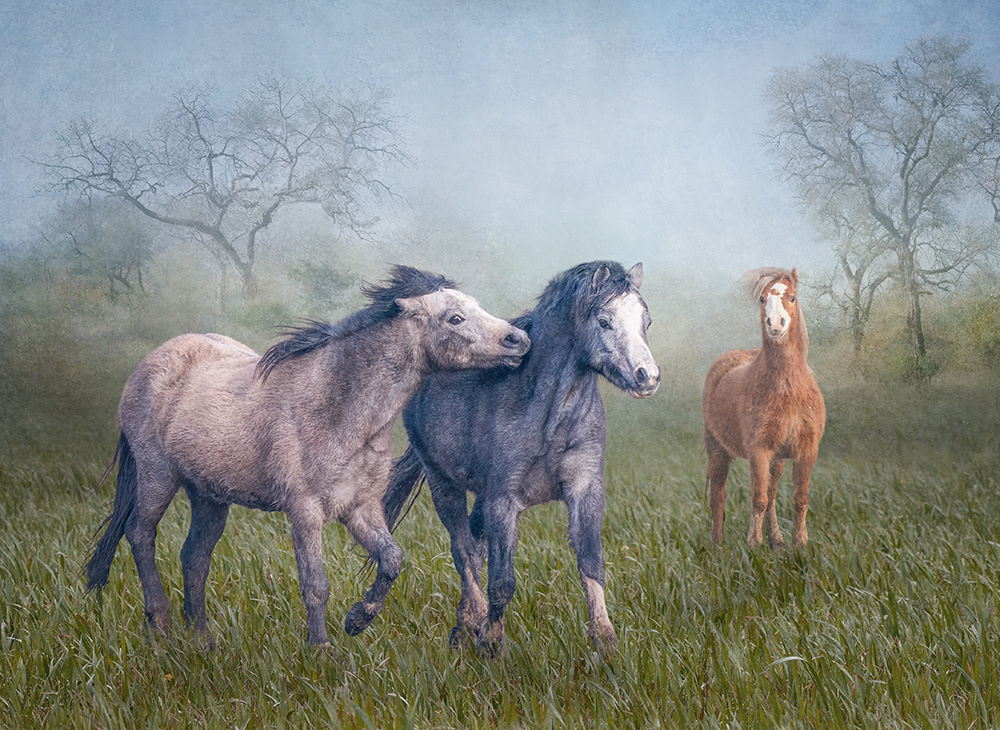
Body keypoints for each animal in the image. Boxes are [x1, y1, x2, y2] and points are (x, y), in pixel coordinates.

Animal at [85, 266, 531, 647]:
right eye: (454, 318)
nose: (519, 341)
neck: (335, 407)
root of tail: (147, 365)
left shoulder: (360, 508)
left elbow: (392, 559)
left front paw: (359, 619)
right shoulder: (305, 511)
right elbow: (315, 584)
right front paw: (322, 650)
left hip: (209, 496)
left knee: (195, 558)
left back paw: (201, 641)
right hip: (157, 476)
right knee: (140, 534)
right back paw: (158, 623)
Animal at [381, 261, 660, 657]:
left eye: (646, 320)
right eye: (604, 320)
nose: (647, 377)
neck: (550, 417)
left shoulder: (586, 489)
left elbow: (591, 565)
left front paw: (606, 645)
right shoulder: (504, 500)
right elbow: (502, 581)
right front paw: (491, 645)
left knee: (475, 546)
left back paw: (462, 629)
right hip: (443, 483)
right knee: (463, 551)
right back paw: (469, 629)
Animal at [702, 267, 825, 550]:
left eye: (792, 297)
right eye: (762, 299)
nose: (775, 324)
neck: (788, 389)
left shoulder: (806, 450)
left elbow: (799, 499)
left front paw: (799, 544)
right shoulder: (759, 451)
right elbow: (758, 499)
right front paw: (754, 544)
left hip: (777, 460)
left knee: (772, 494)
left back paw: (776, 540)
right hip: (717, 450)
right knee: (718, 497)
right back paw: (717, 546)